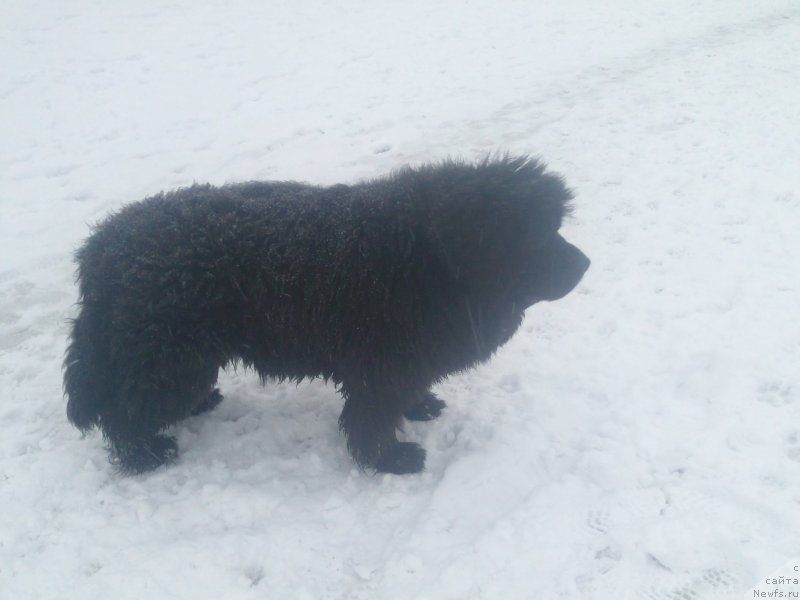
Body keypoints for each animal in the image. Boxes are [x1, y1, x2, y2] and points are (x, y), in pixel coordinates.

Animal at [64, 157, 588, 476]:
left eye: (555, 228)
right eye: (540, 236)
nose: (585, 263)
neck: (428, 257)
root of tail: (102, 247)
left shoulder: (405, 361)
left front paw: (418, 408)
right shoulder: (382, 369)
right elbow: (370, 418)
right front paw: (388, 459)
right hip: (166, 354)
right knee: (125, 412)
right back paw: (144, 454)